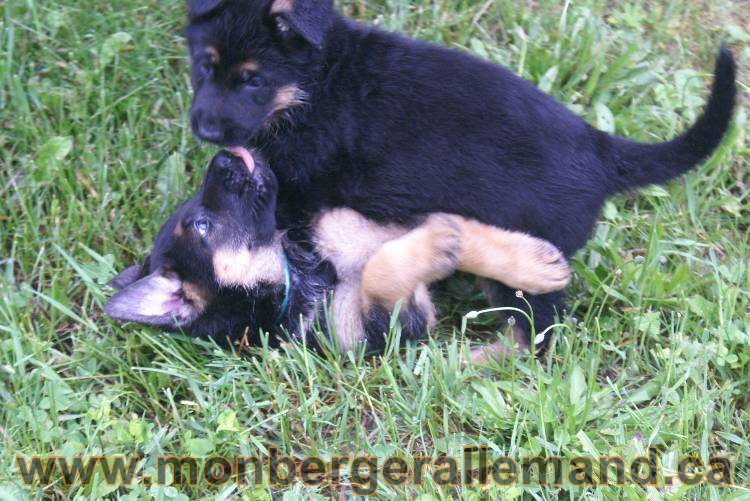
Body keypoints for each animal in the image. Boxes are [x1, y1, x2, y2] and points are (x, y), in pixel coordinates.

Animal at [106, 148, 572, 356]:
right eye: (201, 225)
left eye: (195, 213)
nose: (223, 155)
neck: (306, 269)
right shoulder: (396, 322)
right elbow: (382, 272)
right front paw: (442, 241)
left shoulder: (372, 229)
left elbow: (469, 240)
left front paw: (535, 263)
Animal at [185, 0, 736, 350]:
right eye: (203, 65)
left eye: (252, 80)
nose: (204, 129)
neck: (317, 82)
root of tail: (602, 151)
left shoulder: (302, 187)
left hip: (526, 266)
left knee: (536, 333)